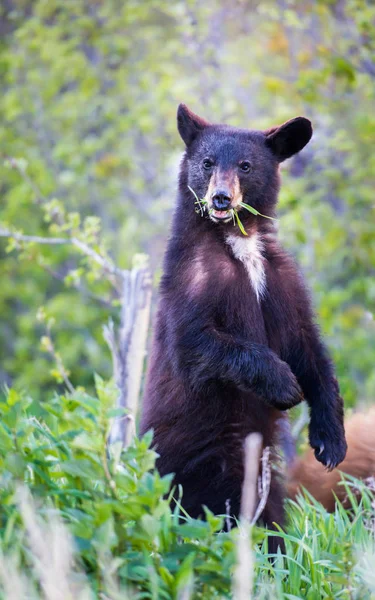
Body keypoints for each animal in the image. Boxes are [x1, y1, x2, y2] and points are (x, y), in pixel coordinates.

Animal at [140, 104, 348, 544]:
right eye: (207, 162)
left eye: (246, 166)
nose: (220, 197)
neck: (240, 240)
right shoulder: (192, 279)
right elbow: (198, 344)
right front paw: (284, 384)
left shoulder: (280, 280)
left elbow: (309, 348)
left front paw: (330, 441)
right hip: (210, 460)